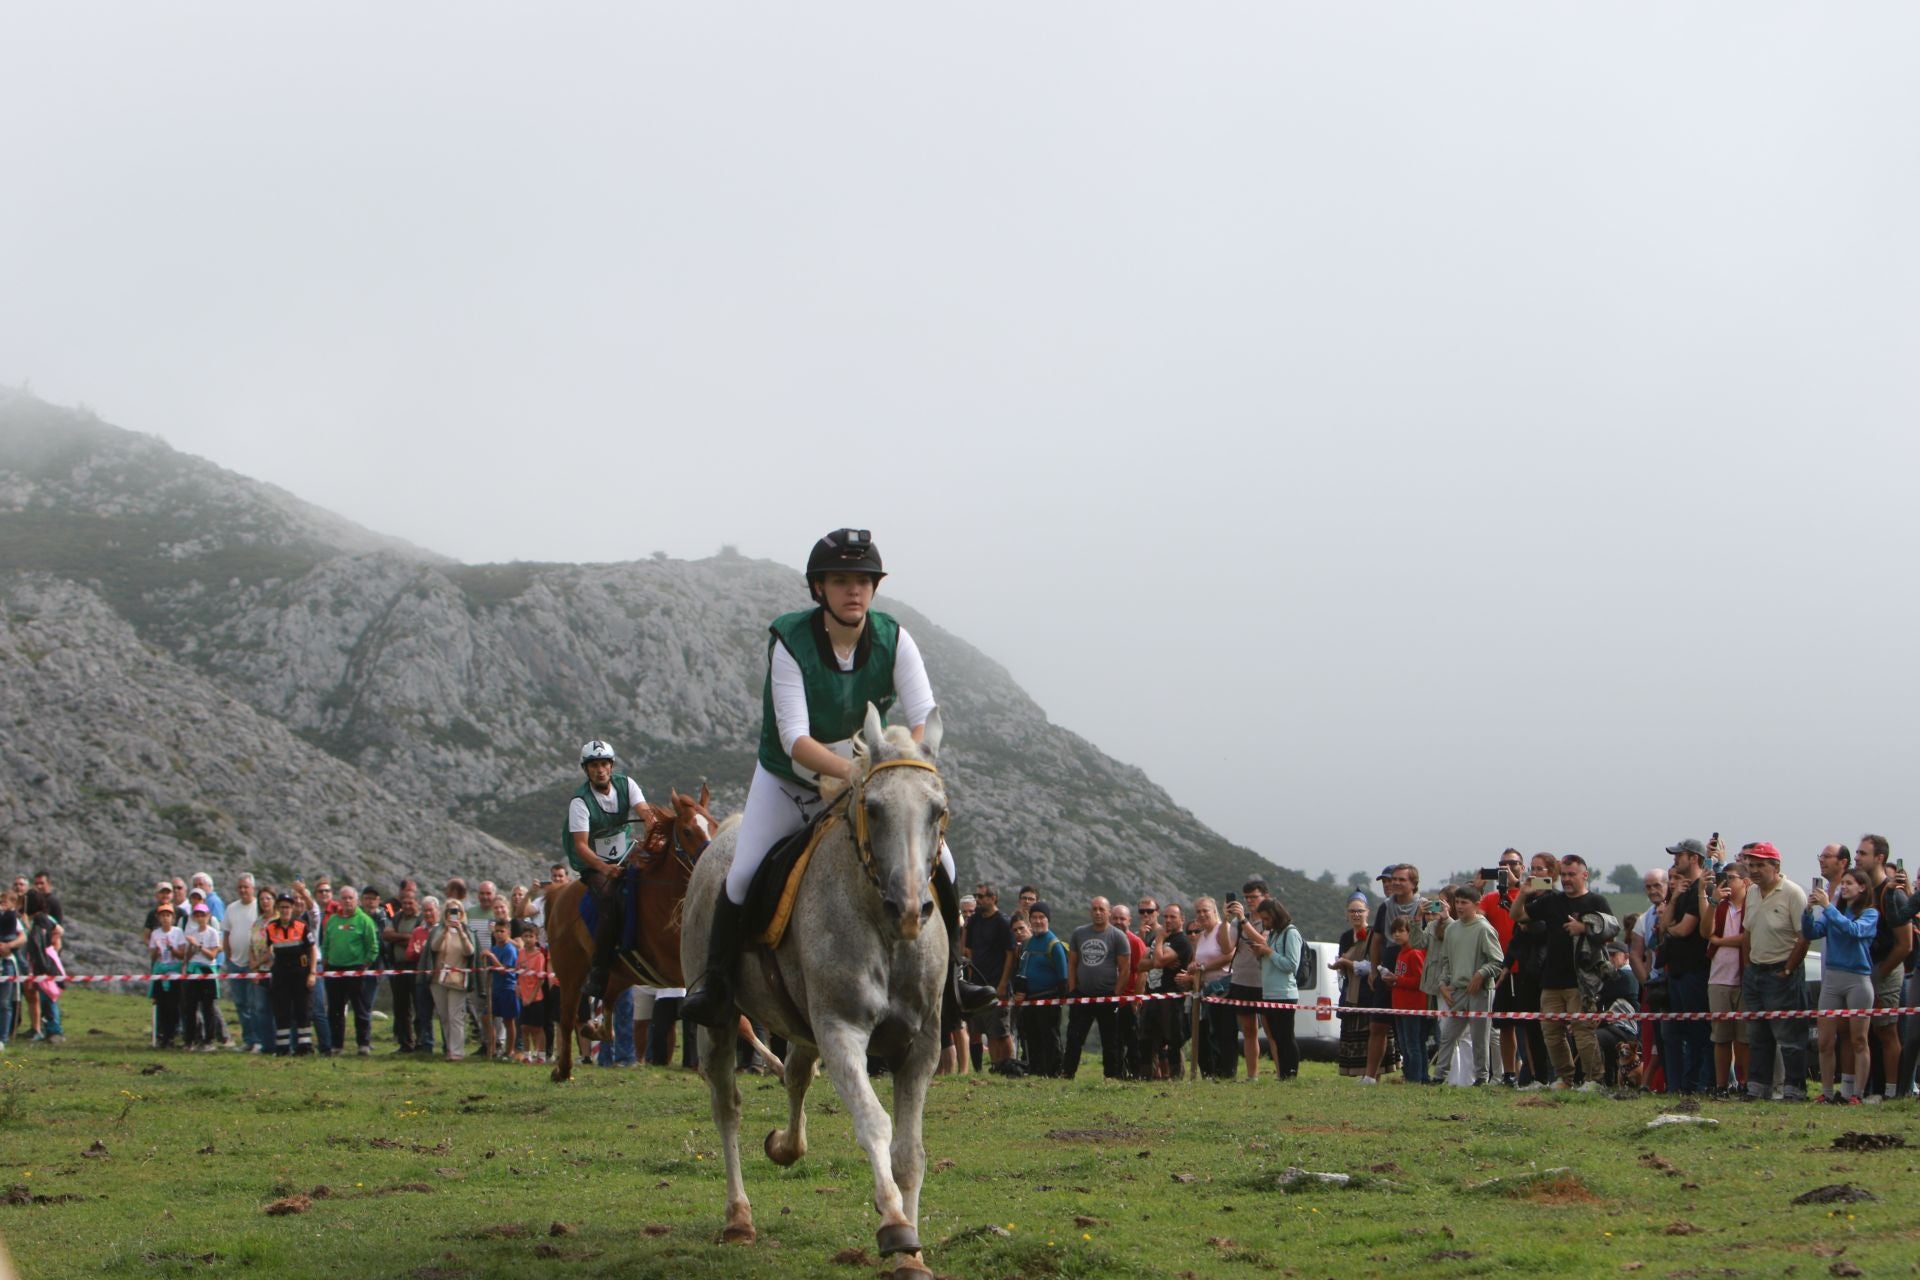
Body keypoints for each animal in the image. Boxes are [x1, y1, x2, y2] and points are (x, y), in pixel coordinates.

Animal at [683, 706, 952, 1274]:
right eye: (873, 808)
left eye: (937, 810)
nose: (910, 909)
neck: (884, 929)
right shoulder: (841, 1031)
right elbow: (874, 1123)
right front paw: (894, 1225)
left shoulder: (920, 1046)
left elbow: (909, 1151)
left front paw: (913, 1255)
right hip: (721, 1022)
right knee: (727, 1106)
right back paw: (739, 1217)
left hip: (799, 1026)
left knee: (795, 1076)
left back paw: (785, 1146)